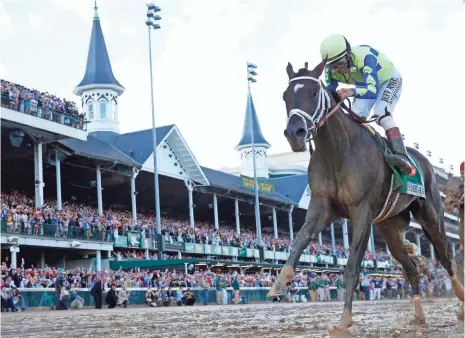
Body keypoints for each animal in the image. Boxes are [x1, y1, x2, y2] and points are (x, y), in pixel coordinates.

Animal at [266, 60, 462, 330]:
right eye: (285, 96)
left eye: (314, 93)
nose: (295, 132)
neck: (337, 152)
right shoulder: (321, 206)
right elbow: (299, 241)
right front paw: (279, 284)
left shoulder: (361, 211)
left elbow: (351, 265)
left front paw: (345, 320)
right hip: (390, 229)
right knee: (411, 268)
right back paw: (420, 315)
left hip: (431, 217)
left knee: (445, 257)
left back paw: (461, 301)